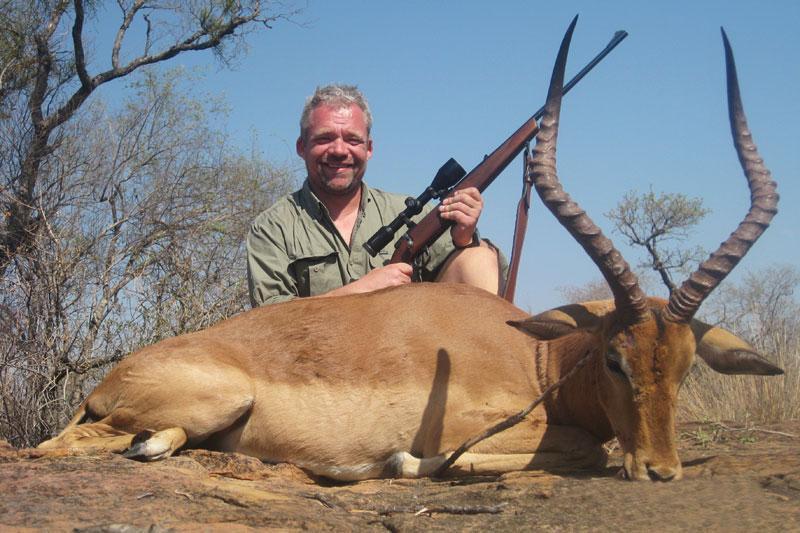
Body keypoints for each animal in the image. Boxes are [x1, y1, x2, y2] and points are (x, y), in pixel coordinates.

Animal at [39, 23, 781, 482]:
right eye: (613, 358)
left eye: (684, 366)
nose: (661, 469)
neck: (530, 353)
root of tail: (111, 377)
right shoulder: (467, 427)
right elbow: (573, 447)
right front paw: (399, 464)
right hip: (212, 397)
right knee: (64, 444)